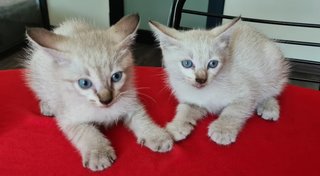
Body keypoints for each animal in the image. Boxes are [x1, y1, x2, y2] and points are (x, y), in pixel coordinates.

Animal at [25, 14, 174, 171]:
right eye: (84, 83)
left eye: (116, 76)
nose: (106, 100)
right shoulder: (69, 118)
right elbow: (86, 131)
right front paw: (98, 153)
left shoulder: (130, 101)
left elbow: (142, 118)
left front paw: (156, 136)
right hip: (37, 74)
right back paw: (47, 106)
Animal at [150, 17, 290, 145]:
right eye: (187, 63)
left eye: (213, 64)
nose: (201, 79)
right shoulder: (192, 100)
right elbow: (184, 109)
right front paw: (177, 126)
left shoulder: (247, 93)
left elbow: (233, 111)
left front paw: (222, 130)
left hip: (274, 66)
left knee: (270, 91)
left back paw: (268, 107)